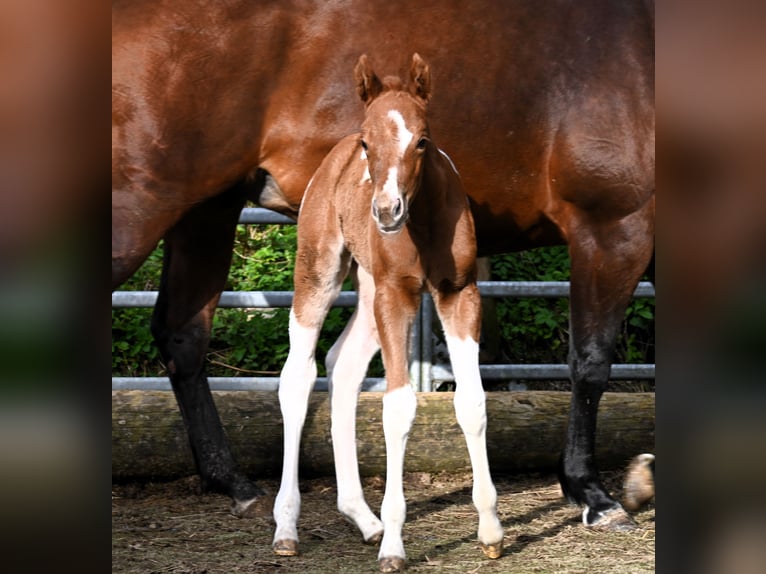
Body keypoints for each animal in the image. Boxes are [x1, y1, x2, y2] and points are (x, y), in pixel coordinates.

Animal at [272, 53, 508, 572]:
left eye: (423, 139)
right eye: (368, 143)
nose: (385, 211)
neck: (424, 221)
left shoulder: (458, 293)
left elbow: (473, 402)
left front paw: (490, 530)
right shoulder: (396, 296)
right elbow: (398, 407)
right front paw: (396, 546)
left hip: (368, 288)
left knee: (342, 366)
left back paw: (362, 517)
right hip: (319, 270)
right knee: (298, 376)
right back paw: (286, 527)